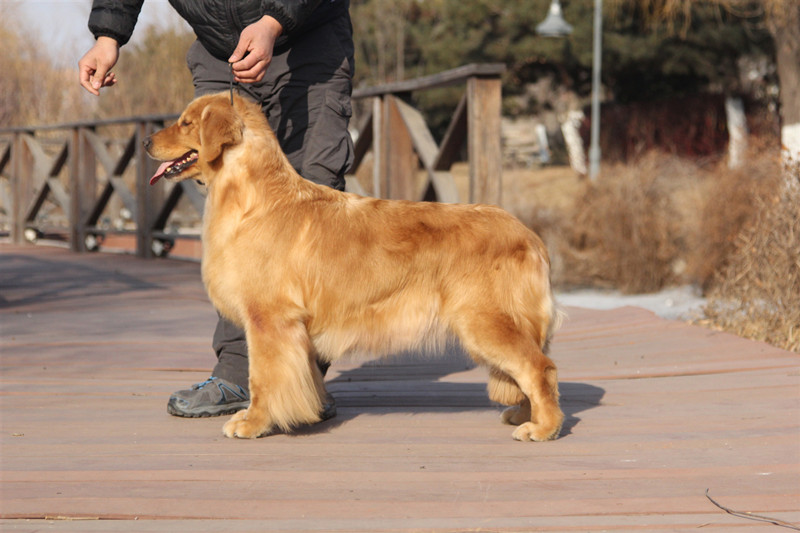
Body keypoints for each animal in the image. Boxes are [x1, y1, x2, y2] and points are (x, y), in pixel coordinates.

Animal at [145, 92, 564, 442]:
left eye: (185, 123)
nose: (147, 142)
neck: (254, 199)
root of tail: (531, 235)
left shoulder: (269, 319)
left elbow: (262, 377)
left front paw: (254, 421)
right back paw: (524, 413)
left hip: (485, 321)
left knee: (539, 367)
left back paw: (543, 427)